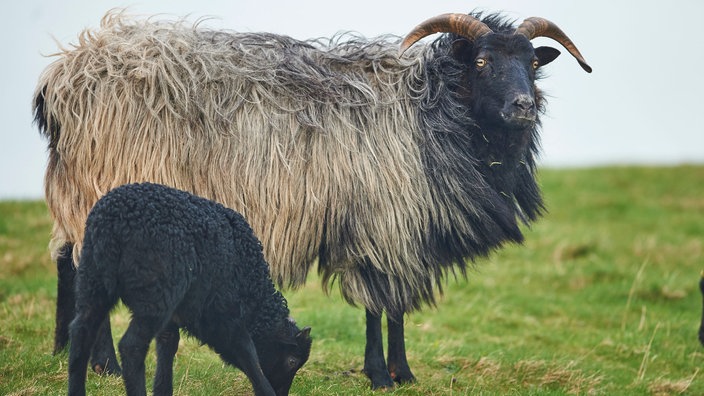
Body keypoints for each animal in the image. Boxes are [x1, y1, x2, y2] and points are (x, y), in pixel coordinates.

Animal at [68, 183, 310, 396]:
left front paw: (163, 390)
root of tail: (113, 223)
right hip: (155, 295)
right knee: (131, 346)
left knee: (81, 333)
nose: (282, 393)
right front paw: (266, 390)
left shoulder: (176, 316)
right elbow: (247, 351)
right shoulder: (225, 311)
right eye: (292, 361)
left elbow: (168, 344)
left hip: (93, 281)